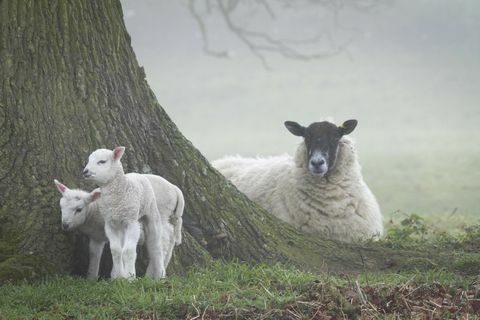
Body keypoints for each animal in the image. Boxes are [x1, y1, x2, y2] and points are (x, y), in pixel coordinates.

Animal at [82, 148, 184, 280]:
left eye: (102, 162)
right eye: (89, 160)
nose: (85, 172)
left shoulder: (132, 222)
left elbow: (128, 251)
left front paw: (130, 277)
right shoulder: (110, 224)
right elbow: (116, 250)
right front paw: (119, 277)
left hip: (154, 213)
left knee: (156, 244)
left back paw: (159, 274)